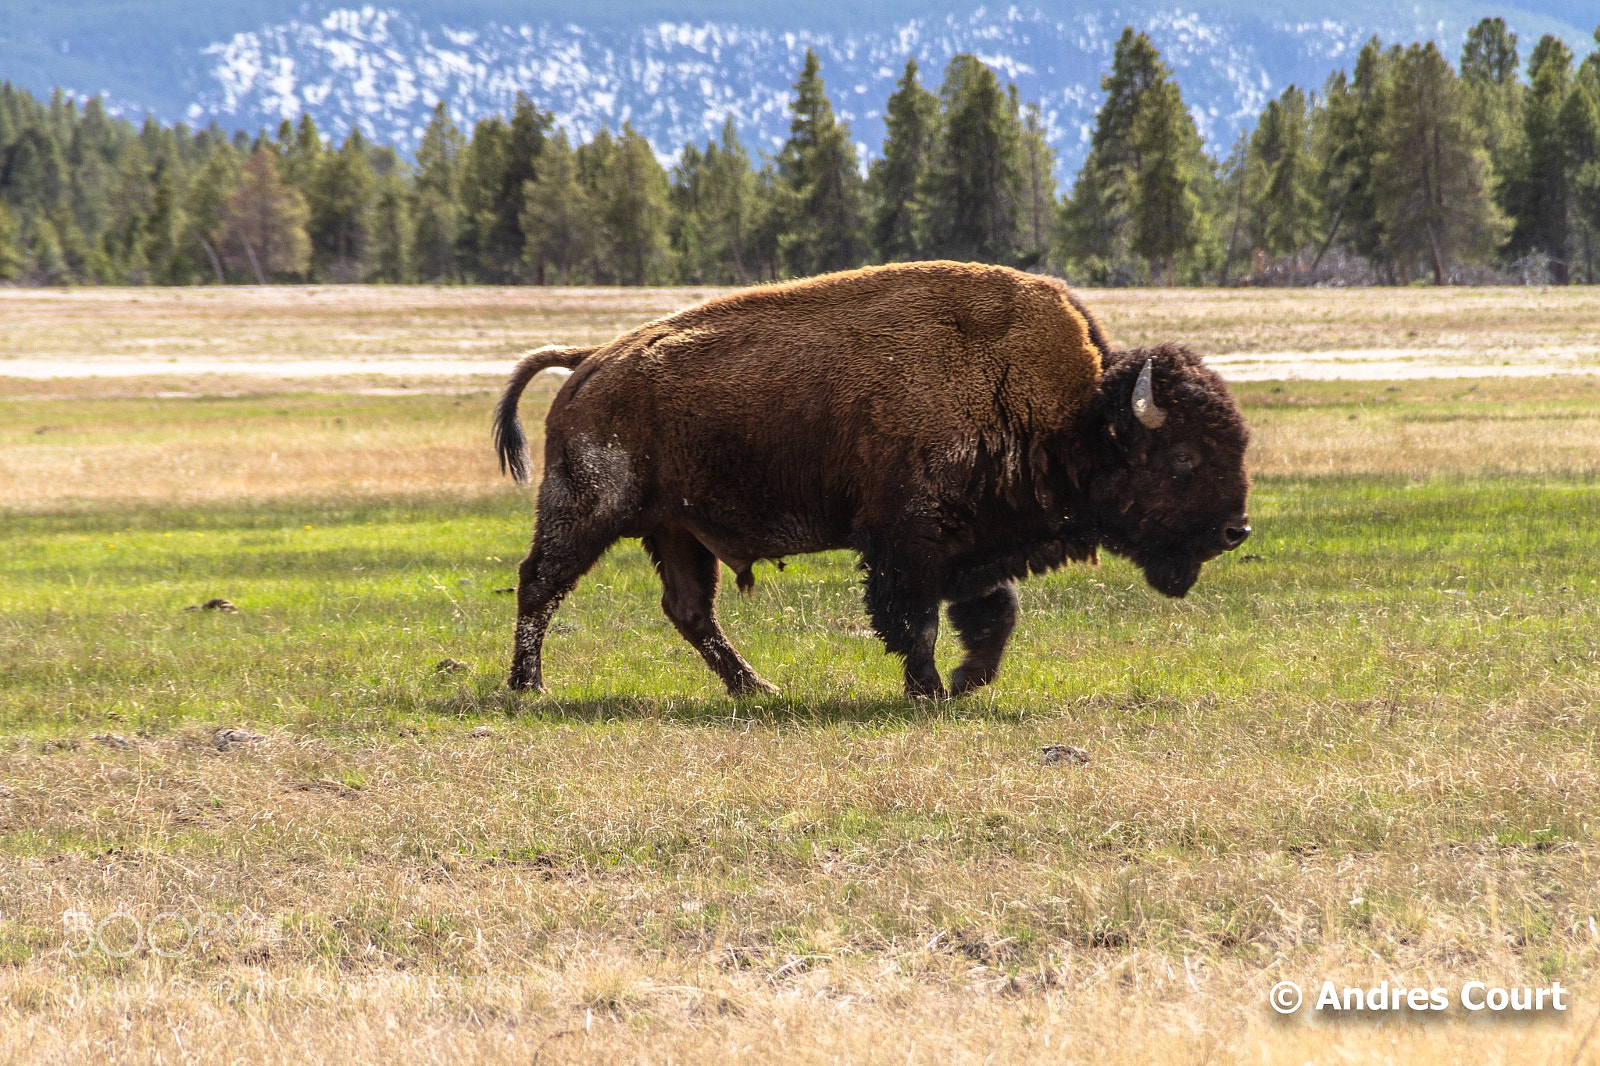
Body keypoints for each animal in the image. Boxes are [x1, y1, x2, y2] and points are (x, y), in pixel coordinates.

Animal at [493, 261, 1250, 698]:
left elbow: (994, 614)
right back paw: (529, 687)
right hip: (587, 512)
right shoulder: (908, 542)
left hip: (675, 530)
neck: (1071, 413)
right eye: (1183, 459)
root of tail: (593, 359)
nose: (1235, 530)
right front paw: (929, 689)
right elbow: (915, 620)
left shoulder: (971, 546)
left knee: (689, 610)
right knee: (540, 584)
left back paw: (756, 688)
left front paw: (966, 682)